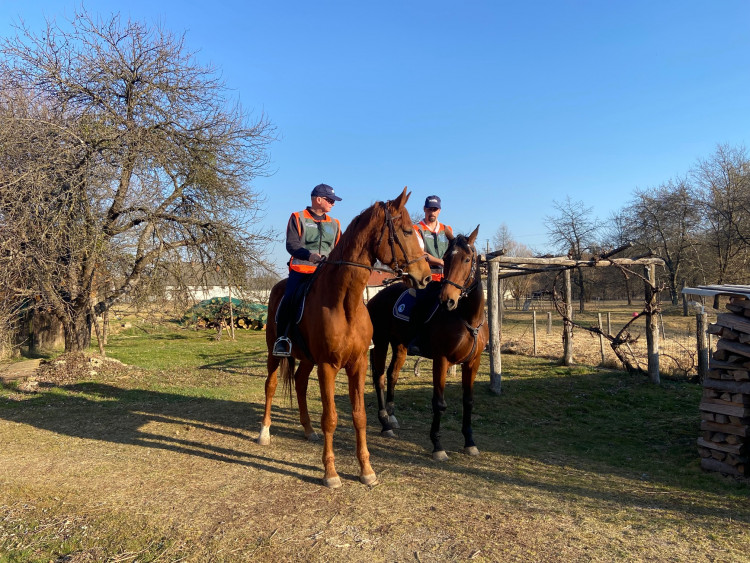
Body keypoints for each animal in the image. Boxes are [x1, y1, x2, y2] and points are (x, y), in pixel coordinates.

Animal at [260, 189, 432, 490]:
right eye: (407, 231)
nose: (425, 278)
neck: (344, 302)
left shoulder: (358, 364)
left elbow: (359, 416)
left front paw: (367, 470)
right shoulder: (328, 367)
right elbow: (331, 418)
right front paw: (330, 473)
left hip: (307, 359)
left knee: (301, 384)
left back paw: (308, 430)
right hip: (274, 353)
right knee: (270, 386)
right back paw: (265, 432)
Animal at [368, 227, 488, 460]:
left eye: (467, 259)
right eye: (446, 259)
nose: (447, 300)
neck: (467, 318)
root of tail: (374, 298)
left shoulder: (472, 363)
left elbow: (468, 401)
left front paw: (470, 442)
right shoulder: (441, 360)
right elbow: (439, 403)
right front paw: (437, 445)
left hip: (400, 346)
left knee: (392, 375)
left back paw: (392, 417)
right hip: (380, 343)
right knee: (379, 378)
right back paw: (385, 423)